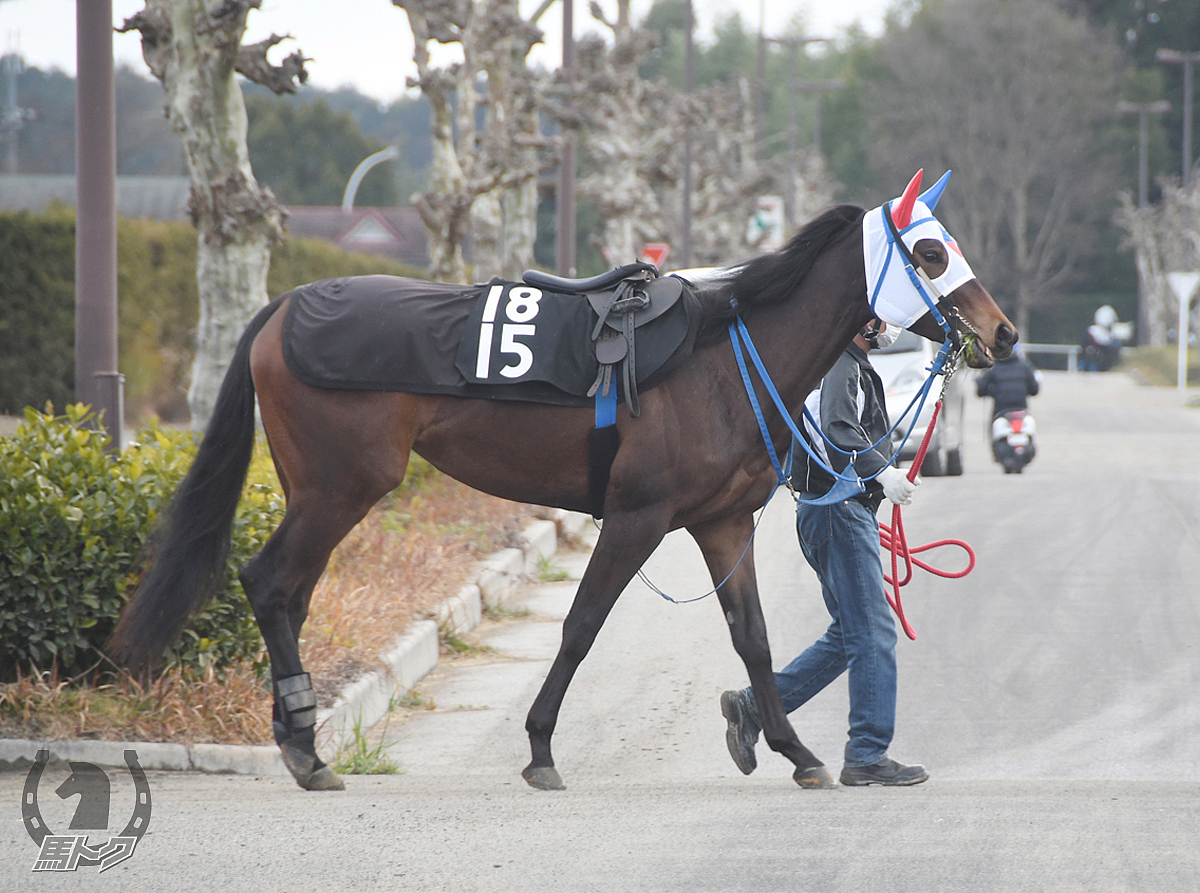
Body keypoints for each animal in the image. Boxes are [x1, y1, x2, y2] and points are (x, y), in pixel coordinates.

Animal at [110, 170, 1012, 792]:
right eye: (931, 251)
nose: (1001, 331)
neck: (720, 359)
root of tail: (282, 308)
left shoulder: (721, 524)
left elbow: (753, 639)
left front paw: (794, 749)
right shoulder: (636, 516)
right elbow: (581, 626)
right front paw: (541, 745)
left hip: (318, 491)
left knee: (289, 594)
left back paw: (299, 736)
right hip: (342, 487)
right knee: (269, 582)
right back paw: (303, 747)